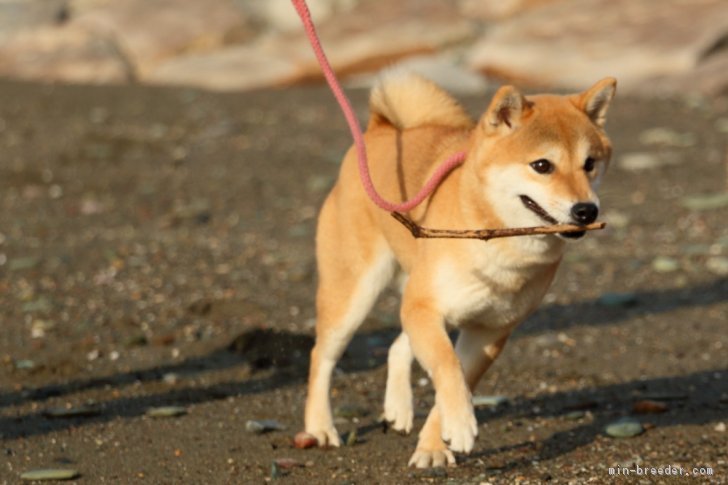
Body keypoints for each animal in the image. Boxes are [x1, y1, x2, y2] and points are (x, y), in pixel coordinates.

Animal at [302, 70, 616, 466]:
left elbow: (456, 380)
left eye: (590, 163)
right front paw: (460, 426)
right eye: (542, 165)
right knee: (323, 356)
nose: (586, 210)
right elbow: (448, 368)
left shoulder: (488, 331)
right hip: (355, 294)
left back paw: (398, 409)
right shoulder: (427, 308)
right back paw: (319, 427)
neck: (500, 244)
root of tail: (379, 131)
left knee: (398, 345)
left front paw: (435, 445)